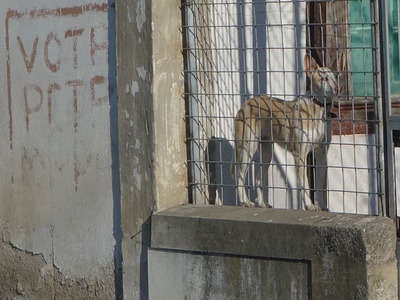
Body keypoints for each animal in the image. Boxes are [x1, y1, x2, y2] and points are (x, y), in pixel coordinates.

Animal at [230, 52, 346, 210]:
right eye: (324, 79)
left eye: (337, 77)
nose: (338, 89)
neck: (318, 109)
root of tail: (246, 103)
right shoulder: (300, 154)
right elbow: (304, 183)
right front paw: (309, 205)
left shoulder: (321, 153)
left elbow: (318, 183)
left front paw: (321, 206)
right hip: (247, 147)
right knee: (239, 175)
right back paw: (245, 201)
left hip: (266, 151)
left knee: (258, 178)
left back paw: (262, 203)